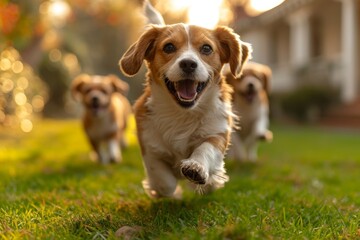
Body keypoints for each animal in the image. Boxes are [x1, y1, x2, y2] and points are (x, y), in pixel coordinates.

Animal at [119, 1, 252, 198]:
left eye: (206, 48)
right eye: (169, 47)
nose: (188, 63)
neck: (182, 113)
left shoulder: (217, 132)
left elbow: (206, 149)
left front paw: (198, 169)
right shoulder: (149, 144)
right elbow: (164, 181)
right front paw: (167, 191)